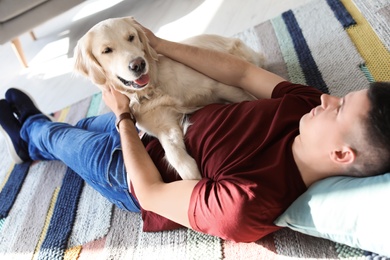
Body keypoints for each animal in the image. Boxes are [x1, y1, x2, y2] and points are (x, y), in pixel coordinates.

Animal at [74, 15, 266, 179]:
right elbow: (174, 155)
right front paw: (193, 177)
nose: (138, 64)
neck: (152, 89)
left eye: (131, 37)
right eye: (107, 50)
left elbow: (250, 99)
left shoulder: (221, 86)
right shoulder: (164, 126)